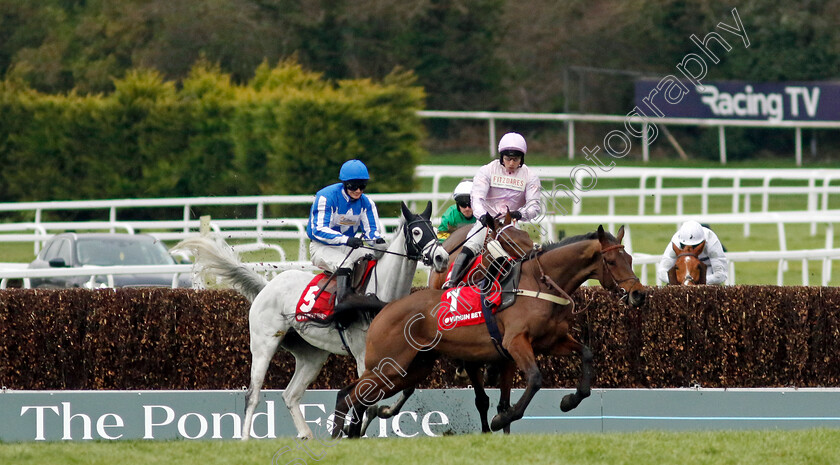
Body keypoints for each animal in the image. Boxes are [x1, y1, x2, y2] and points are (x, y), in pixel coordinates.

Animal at [170, 200, 446, 438]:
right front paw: (356, 426)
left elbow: (403, 388)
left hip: (312, 355)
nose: (442, 258)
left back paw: (306, 435)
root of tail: (267, 287)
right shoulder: (362, 357)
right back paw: (246, 439)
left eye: (434, 229)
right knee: (252, 395)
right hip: (263, 345)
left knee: (290, 395)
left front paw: (375, 416)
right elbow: (366, 397)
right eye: (417, 232)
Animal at [332, 224, 648, 436]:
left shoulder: (551, 341)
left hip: (412, 368)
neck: (538, 285)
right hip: (390, 365)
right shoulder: (515, 342)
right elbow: (534, 379)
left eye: (631, 259)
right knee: (351, 396)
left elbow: (586, 354)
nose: (638, 295)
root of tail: (386, 305)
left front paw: (570, 400)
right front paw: (501, 421)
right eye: (611, 261)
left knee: (354, 394)